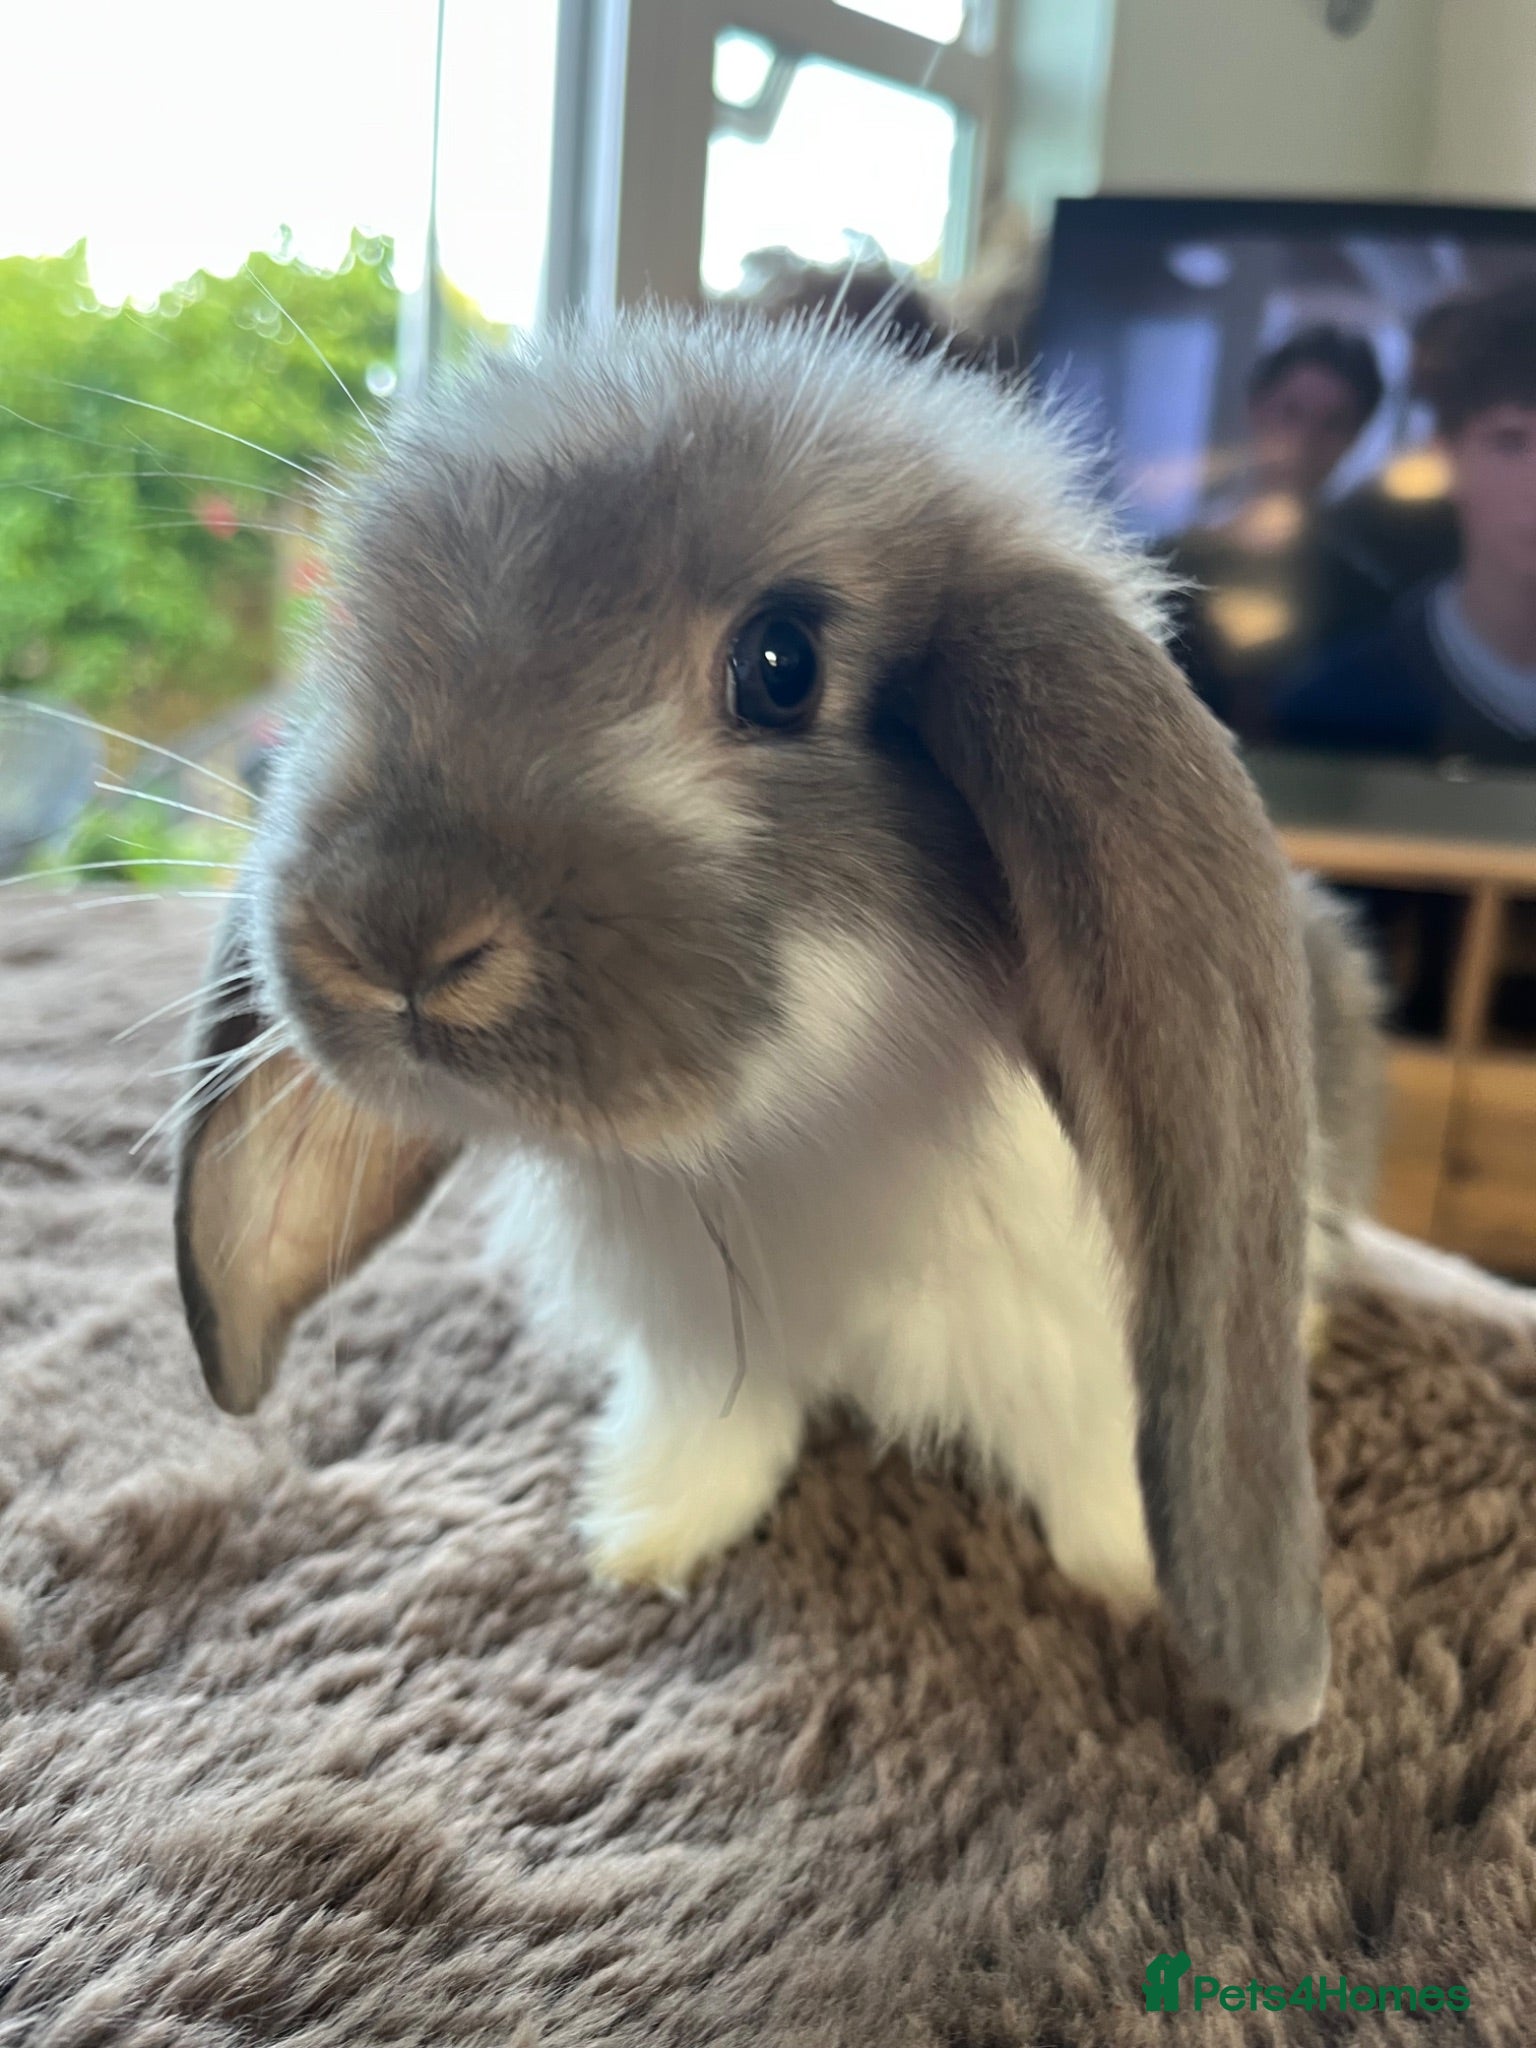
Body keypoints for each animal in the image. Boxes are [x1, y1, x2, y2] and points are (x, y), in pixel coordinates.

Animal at [172, 310, 1383, 1734]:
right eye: (363, 634)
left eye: (780, 664)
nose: (392, 928)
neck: (798, 1120)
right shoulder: (704, 1345)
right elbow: (718, 1431)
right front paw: (645, 1535)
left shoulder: (1084, 1347)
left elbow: (1096, 1460)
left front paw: (1128, 1575)